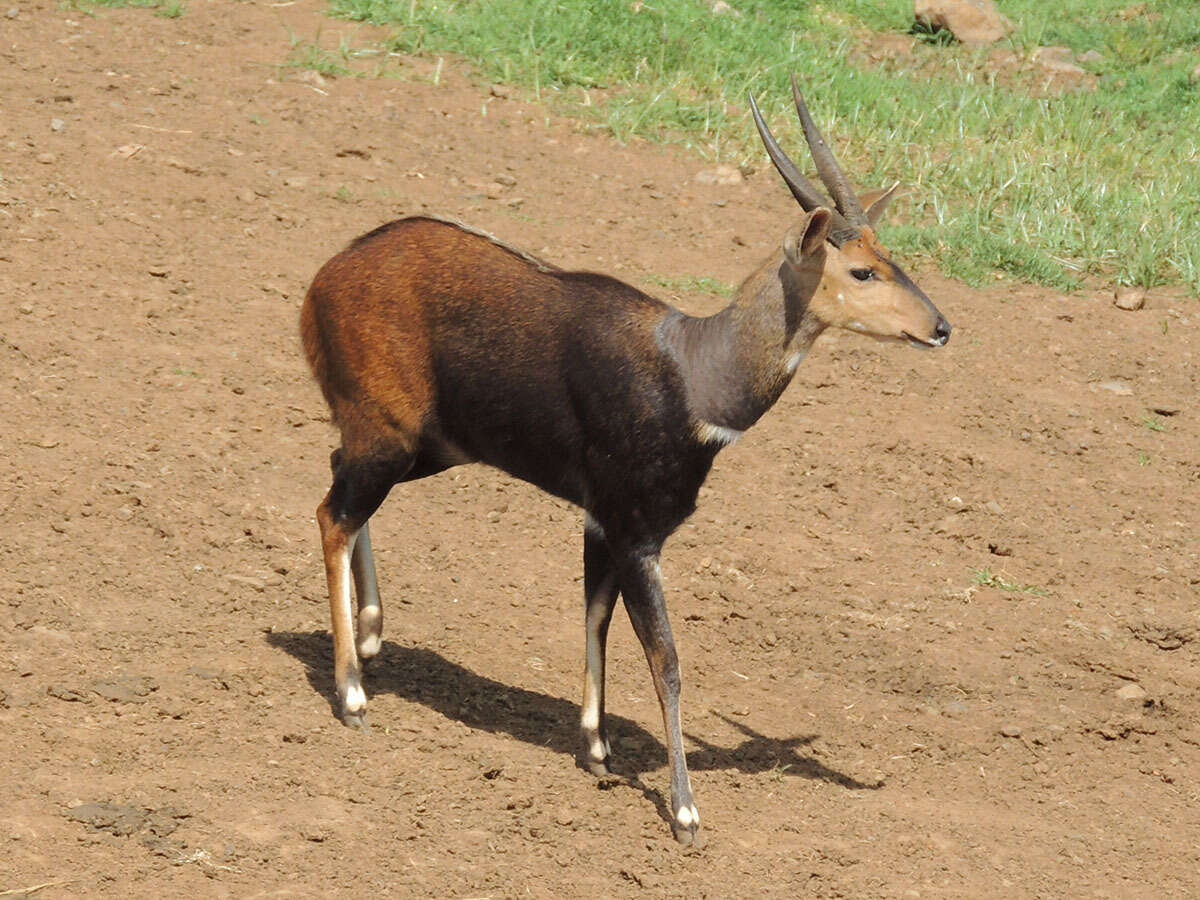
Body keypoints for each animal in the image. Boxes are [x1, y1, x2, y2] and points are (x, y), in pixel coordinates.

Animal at [297, 75, 945, 844]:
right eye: (862, 269)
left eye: (890, 257)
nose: (940, 327)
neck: (693, 372)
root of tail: (322, 283)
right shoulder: (637, 533)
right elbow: (666, 659)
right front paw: (685, 810)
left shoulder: (599, 521)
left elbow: (595, 615)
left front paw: (596, 748)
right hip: (390, 439)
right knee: (331, 514)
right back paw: (352, 693)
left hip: (424, 446)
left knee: (337, 479)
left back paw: (373, 635)